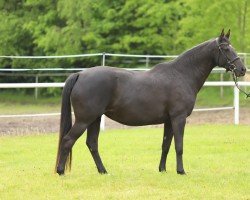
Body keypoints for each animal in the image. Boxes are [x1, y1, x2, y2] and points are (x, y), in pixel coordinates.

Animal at [55, 29, 246, 175]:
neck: (181, 74)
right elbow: (179, 146)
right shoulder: (179, 118)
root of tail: (80, 74)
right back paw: (61, 171)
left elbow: (165, 145)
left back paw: (103, 171)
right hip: (85, 119)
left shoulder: (169, 120)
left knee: (92, 144)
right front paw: (181, 171)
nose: (242, 69)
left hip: (95, 119)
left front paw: (162, 170)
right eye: (226, 48)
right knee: (68, 140)